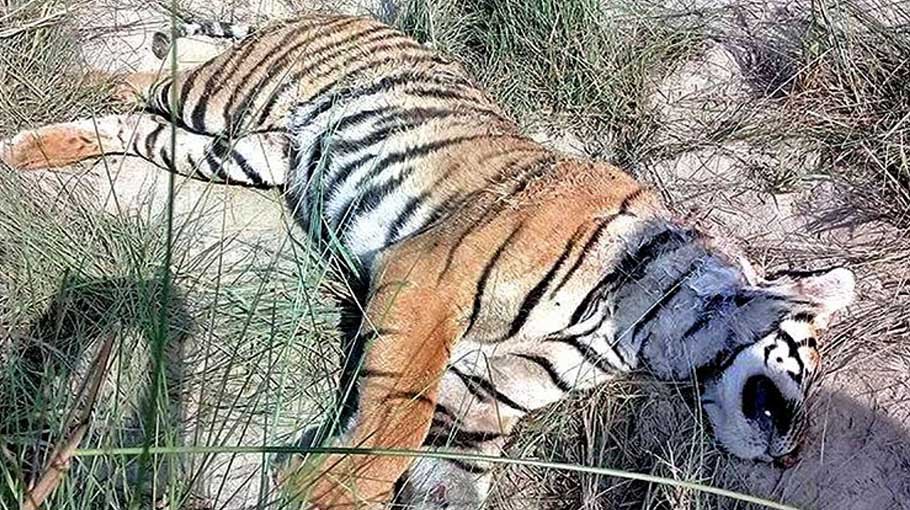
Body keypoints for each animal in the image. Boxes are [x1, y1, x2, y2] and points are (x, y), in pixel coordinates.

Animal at [0, 13, 856, 510]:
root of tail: (337, 9)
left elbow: (447, 477)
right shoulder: (428, 281)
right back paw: (45, 82)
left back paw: (29, 149)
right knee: (142, 75)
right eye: (807, 368)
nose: (794, 459)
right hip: (225, 92)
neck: (640, 334)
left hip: (241, 151)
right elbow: (397, 420)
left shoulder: (478, 404)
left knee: (134, 127)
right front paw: (325, 490)